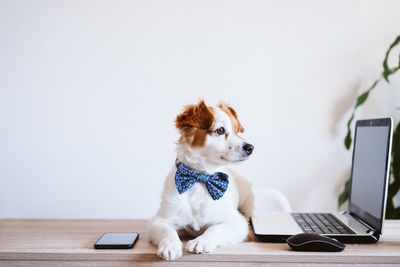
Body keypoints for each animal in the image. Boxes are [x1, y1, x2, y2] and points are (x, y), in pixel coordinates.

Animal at [148, 99, 255, 260]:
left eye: (237, 131)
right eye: (220, 130)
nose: (250, 148)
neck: (201, 179)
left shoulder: (238, 223)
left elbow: (216, 228)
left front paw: (201, 241)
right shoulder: (159, 220)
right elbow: (168, 231)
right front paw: (170, 245)